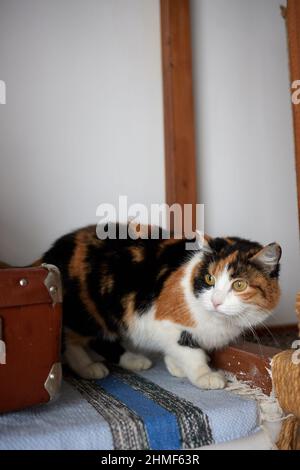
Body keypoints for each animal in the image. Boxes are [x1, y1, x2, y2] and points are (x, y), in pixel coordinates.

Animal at [40, 224, 282, 390]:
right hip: (88, 311)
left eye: (239, 285)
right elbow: (190, 351)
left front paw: (176, 366)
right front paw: (203, 375)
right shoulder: (163, 320)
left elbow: (175, 349)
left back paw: (133, 360)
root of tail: (49, 253)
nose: (216, 301)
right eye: (209, 279)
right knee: (68, 338)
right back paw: (88, 367)